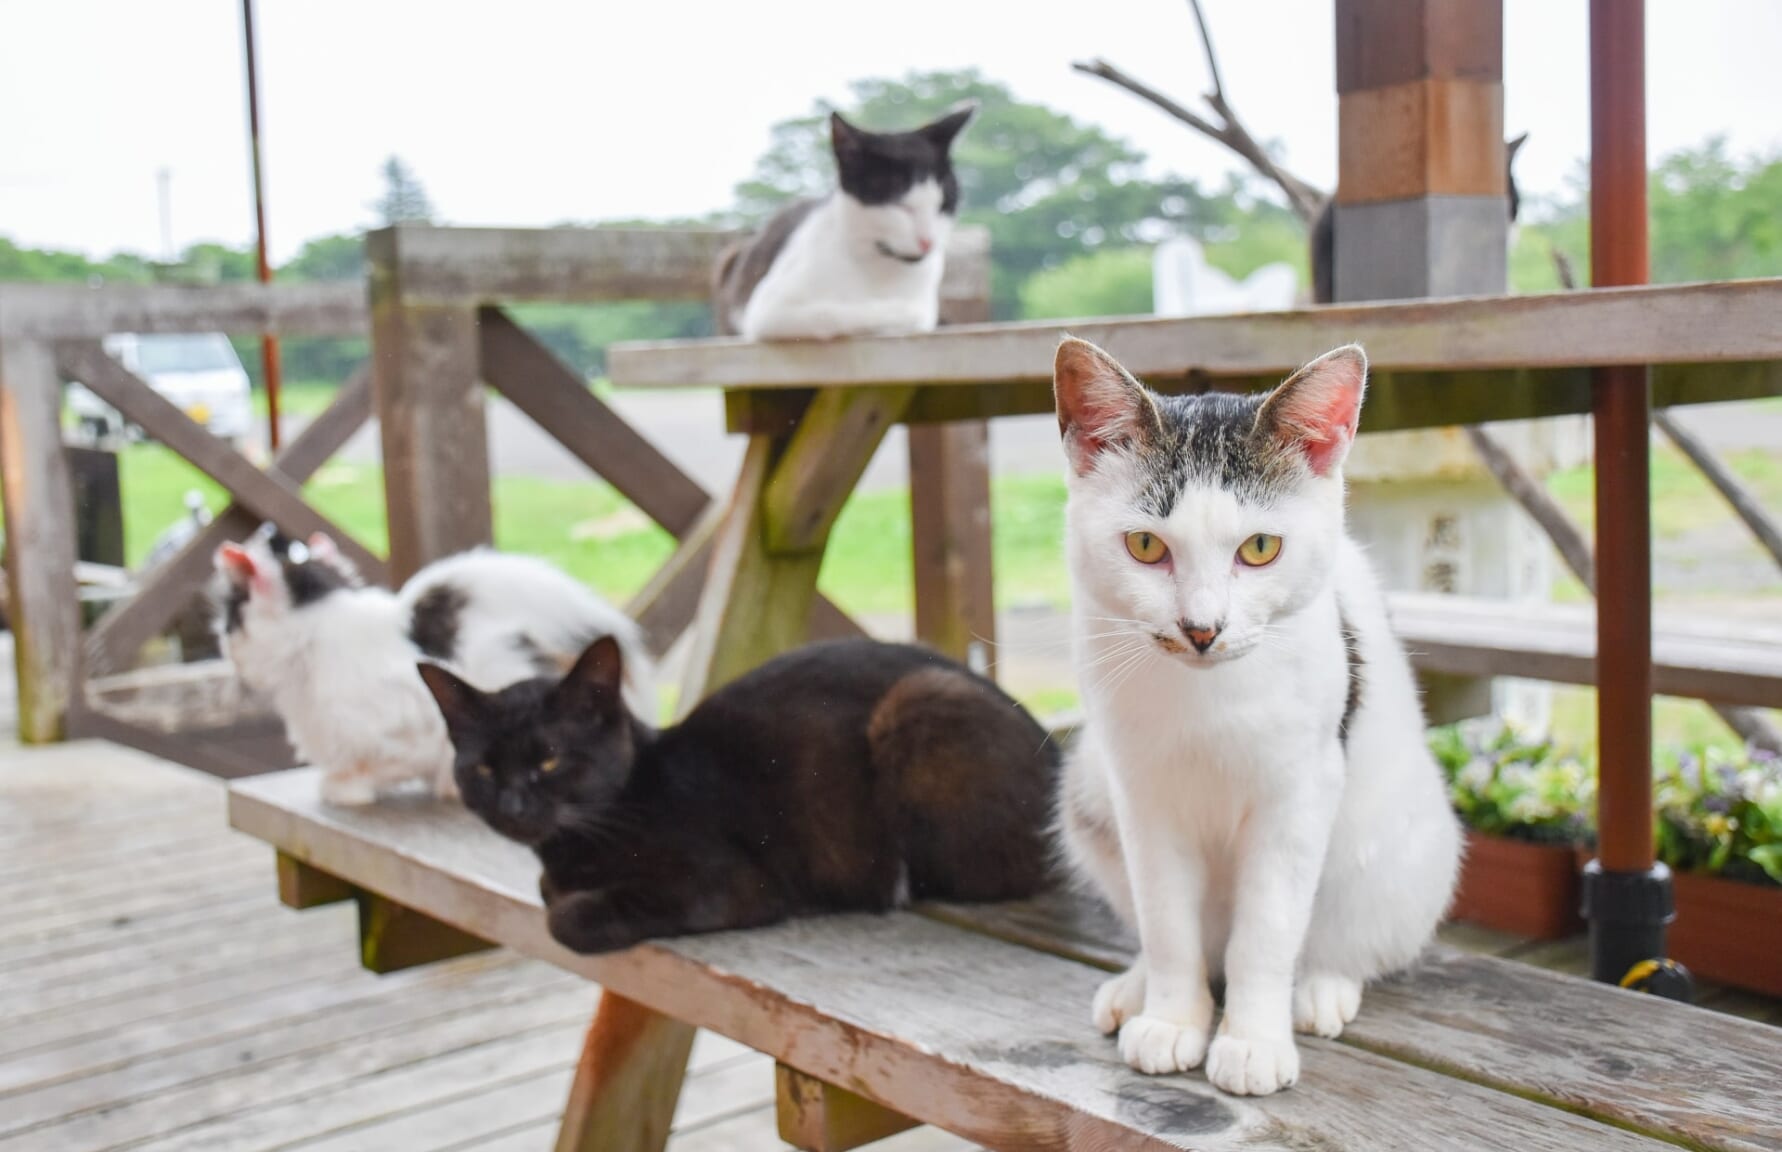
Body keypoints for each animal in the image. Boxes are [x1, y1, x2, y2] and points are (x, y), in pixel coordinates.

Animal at [212, 534, 652, 813]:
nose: (225, 645)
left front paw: (345, 790)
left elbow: (374, 764)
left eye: (231, 620)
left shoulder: (395, 729)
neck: (312, 638)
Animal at [416, 634, 1054, 955]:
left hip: (922, 702)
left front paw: (572, 905)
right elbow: (549, 889)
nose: (514, 807)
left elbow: (566, 917)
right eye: (484, 769)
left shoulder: (727, 883)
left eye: (549, 759)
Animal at [712, 104, 976, 342]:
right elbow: (845, 313)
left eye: (943, 205)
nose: (928, 241)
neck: (879, 265)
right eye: (901, 206)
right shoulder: (772, 310)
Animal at [1047, 337, 1454, 1098]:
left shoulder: (1300, 790)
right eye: (1145, 546)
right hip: (1086, 790)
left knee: (1342, 933)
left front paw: (1253, 1040)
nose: (1202, 629)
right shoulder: (1138, 787)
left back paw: (1321, 986)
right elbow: (1166, 921)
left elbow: (1267, 929)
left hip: (1404, 851)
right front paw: (1172, 1018)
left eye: (1260, 548)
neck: (1209, 698)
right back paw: (1136, 987)